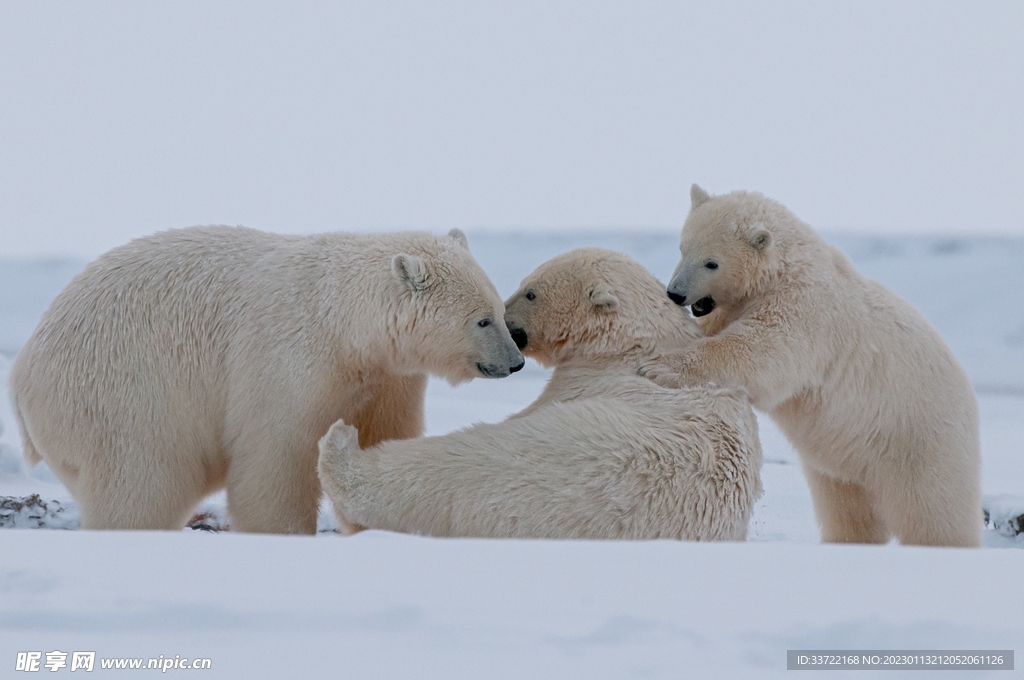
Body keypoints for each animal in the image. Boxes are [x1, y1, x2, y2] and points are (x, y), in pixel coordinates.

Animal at [8, 226, 524, 534]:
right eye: (482, 320)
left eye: (500, 310)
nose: (516, 361)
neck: (344, 322)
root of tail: (21, 373)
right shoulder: (289, 359)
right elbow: (277, 455)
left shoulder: (386, 377)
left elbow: (384, 436)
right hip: (122, 394)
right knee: (138, 481)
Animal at [317, 248, 763, 540]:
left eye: (530, 292)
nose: (505, 321)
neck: (636, 343)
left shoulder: (584, 381)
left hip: (542, 456)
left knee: (451, 463)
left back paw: (341, 448)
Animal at [642, 185, 981, 547]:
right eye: (683, 247)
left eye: (712, 263)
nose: (676, 293)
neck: (787, 266)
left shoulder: (803, 309)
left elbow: (758, 350)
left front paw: (659, 367)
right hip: (848, 461)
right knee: (847, 506)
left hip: (920, 440)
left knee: (934, 512)